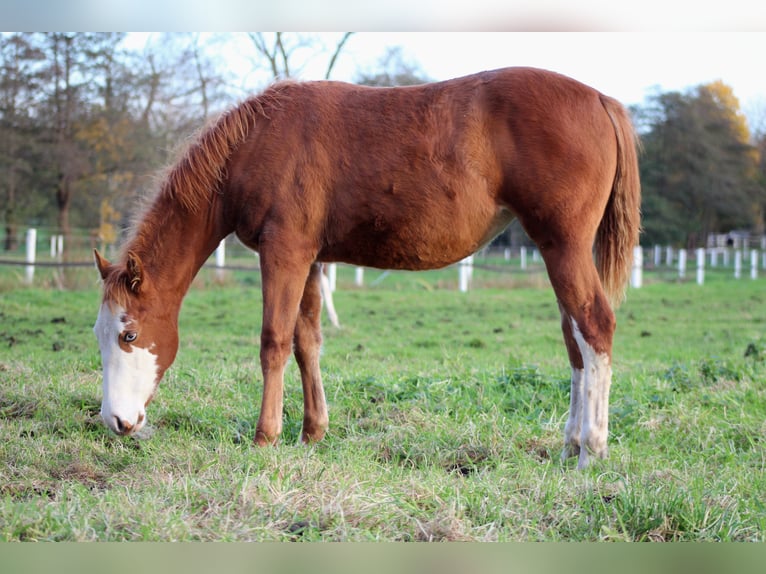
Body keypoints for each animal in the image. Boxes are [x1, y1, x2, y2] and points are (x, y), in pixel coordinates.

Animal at [93, 67, 640, 470]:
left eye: (128, 334)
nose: (115, 422)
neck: (257, 142)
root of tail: (600, 99)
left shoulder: (284, 252)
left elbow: (274, 341)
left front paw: (266, 437)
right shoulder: (310, 259)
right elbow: (306, 341)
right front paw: (312, 433)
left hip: (563, 247)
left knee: (595, 325)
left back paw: (592, 450)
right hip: (557, 252)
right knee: (575, 340)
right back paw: (570, 444)